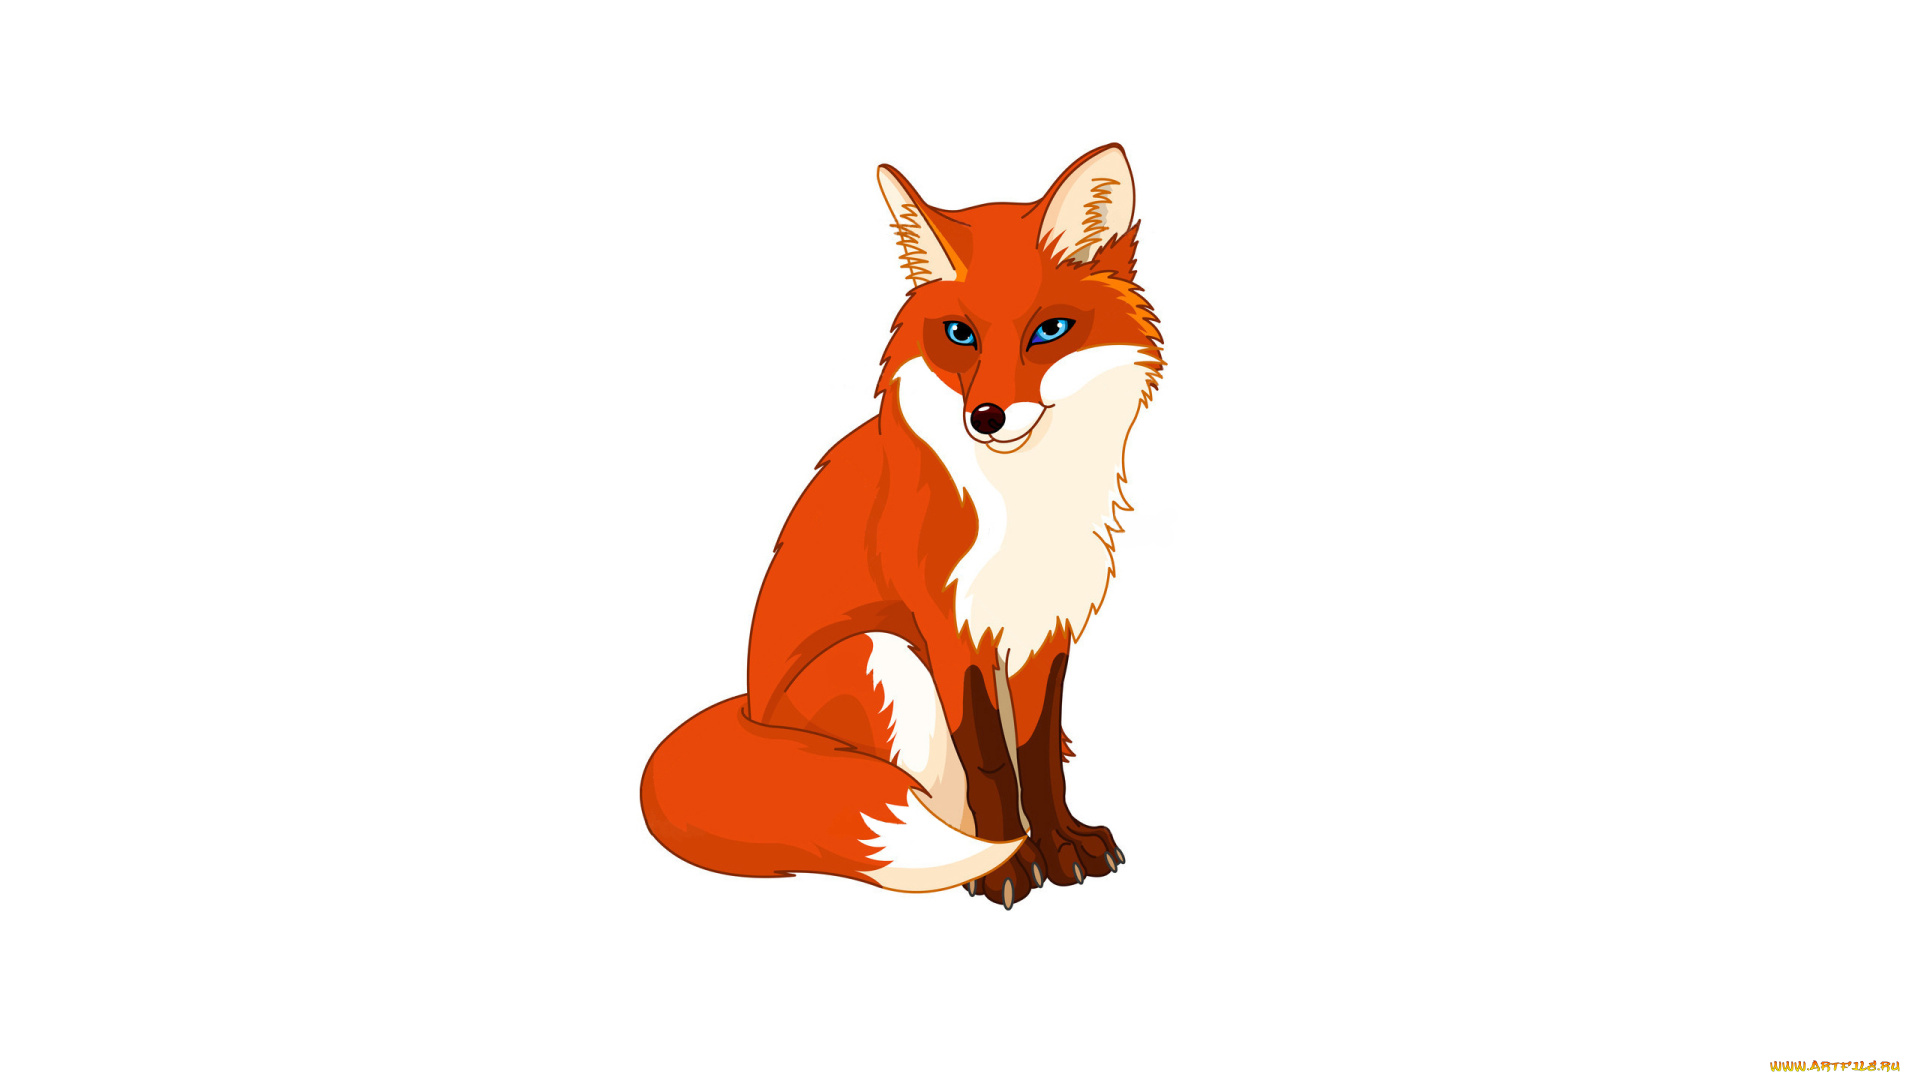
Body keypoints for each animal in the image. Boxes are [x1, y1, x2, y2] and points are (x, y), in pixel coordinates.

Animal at [639, 145, 1165, 909]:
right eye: (960, 335)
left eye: (1048, 331)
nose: (986, 417)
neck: (1022, 503)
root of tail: (749, 712)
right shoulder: (949, 629)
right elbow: (990, 765)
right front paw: (1010, 865)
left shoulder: (1043, 627)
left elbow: (1038, 758)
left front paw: (1062, 843)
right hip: (882, 653)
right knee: (929, 799)